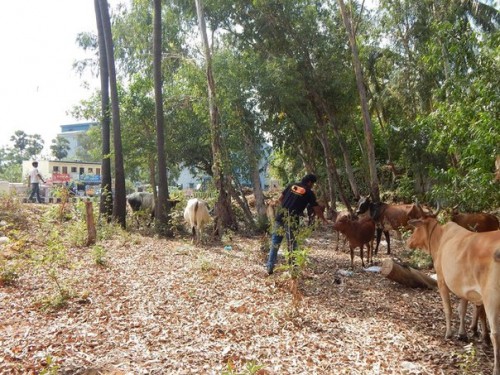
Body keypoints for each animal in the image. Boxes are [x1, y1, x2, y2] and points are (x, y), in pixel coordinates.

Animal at [406, 217, 500, 375]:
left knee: (496, 334)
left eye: (416, 228)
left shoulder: (442, 280)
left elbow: (448, 309)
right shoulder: (463, 288)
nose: (408, 242)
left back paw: (496, 368)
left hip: (491, 299)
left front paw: (449, 333)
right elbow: (462, 310)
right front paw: (462, 334)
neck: (440, 238)